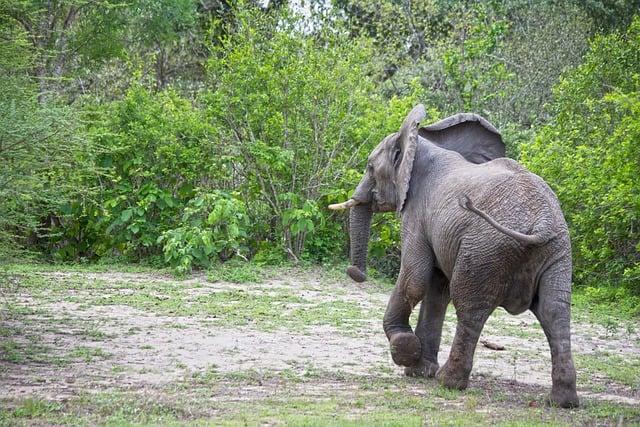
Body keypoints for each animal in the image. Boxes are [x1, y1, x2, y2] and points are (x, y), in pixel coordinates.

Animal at [330, 103, 580, 408]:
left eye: (369, 167)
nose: (356, 273)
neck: (419, 143)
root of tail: (541, 222)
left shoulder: (416, 215)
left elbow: (414, 280)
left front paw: (406, 350)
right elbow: (436, 290)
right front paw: (418, 371)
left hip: (486, 247)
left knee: (470, 308)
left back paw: (449, 381)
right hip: (558, 251)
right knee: (555, 312)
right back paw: (563, 401)